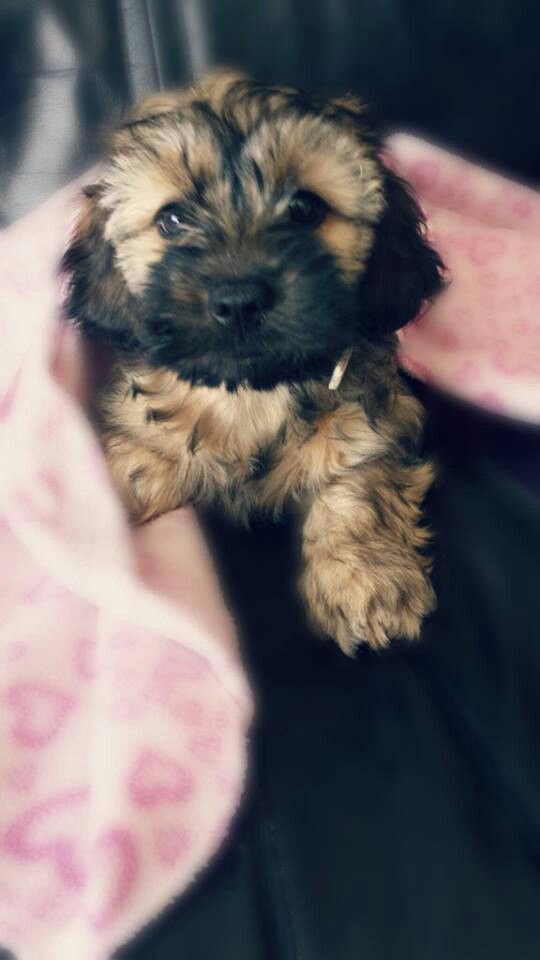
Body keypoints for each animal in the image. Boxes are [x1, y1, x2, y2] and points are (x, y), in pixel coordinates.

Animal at [61, 73, 446, 652]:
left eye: (305, 208)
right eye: (172, 219)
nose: (238, 299)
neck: (251, 392)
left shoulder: (375, 416)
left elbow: (359, 480)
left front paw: (366, 578)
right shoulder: (141, 431)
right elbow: (129, 469)